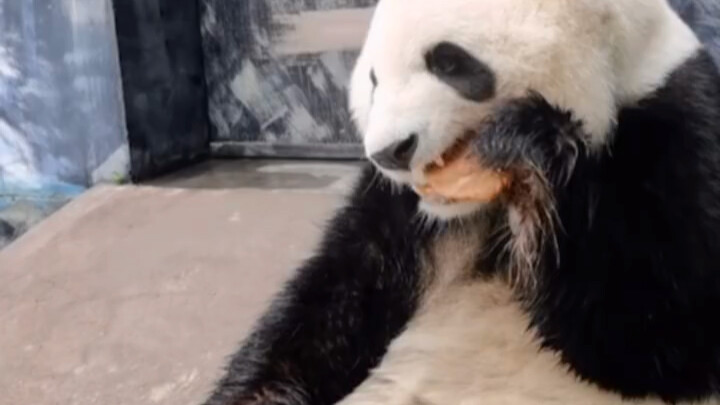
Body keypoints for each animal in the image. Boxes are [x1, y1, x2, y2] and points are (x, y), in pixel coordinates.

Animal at [203, 0, 720, 404]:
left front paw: (523, 143)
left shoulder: (675, 123)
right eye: (373, 79)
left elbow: (663, 331)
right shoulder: (402, 210)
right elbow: (335, 299)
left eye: (448, 62)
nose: (390, 151)